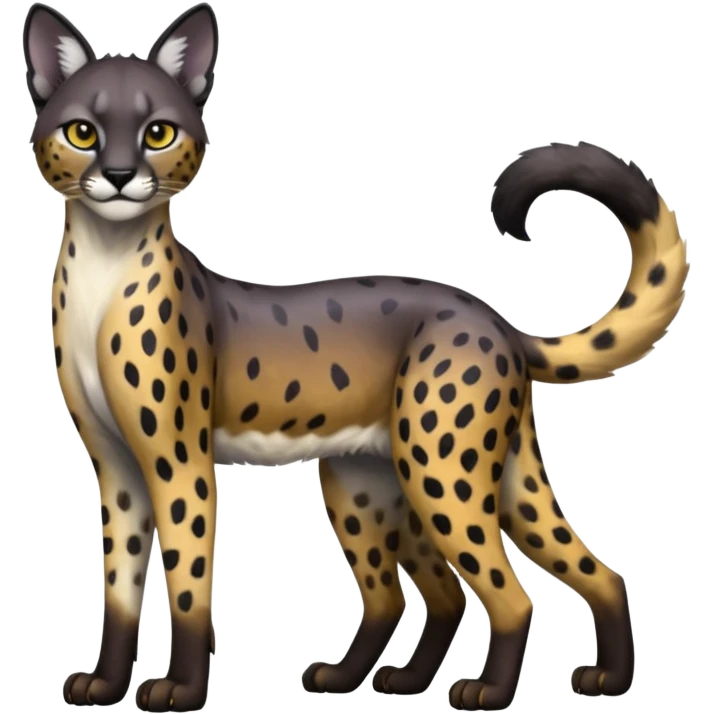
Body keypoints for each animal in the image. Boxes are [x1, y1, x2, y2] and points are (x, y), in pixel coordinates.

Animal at [27, 3, 688, 711]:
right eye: (82, 131)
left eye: (157, 131)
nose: (121, 176)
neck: (105, 267)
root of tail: (495, 320)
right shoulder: (116, 468)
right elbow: (118, 588)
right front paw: (102, 684)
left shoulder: (179, 463)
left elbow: (187, 585)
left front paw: (180, 687)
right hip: (383, 484)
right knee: (465, 589)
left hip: (440, 472)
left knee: (508, 595)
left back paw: (488, 690)